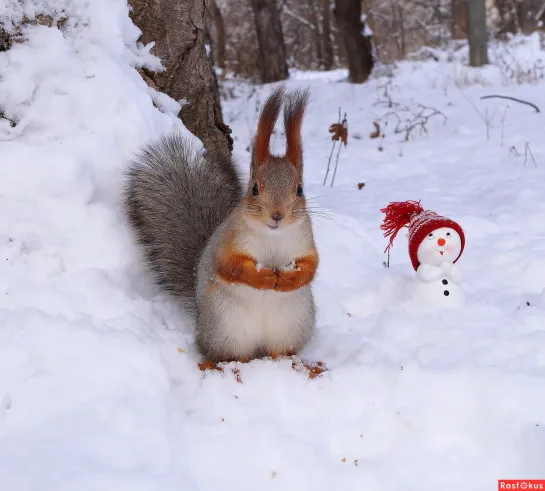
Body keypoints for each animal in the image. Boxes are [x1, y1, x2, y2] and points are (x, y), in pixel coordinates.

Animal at [123, 87, 318, 366]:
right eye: (254, 189)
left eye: (299, 189)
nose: (277, 216)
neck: (273, 237)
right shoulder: (227, 241)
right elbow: (228, 265)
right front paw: (261, 276)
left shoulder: (305, 242)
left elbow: (311, 266)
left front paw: (292, 277)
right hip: (227, 328)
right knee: (231, 356)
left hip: (291, 327)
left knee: (279, 351)